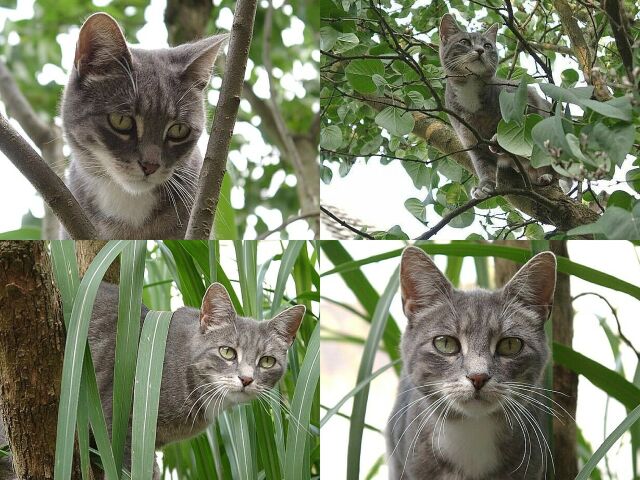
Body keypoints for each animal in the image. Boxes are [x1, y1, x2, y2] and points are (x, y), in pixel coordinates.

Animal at [438, 14, 556, 199]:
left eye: (487, 45)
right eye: (464, 42)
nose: (480, 50)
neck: (470, 87)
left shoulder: (525, 99)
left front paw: (498, 141)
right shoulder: (473, 142)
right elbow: (483, 165)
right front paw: (485, 185)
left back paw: (546, 176)